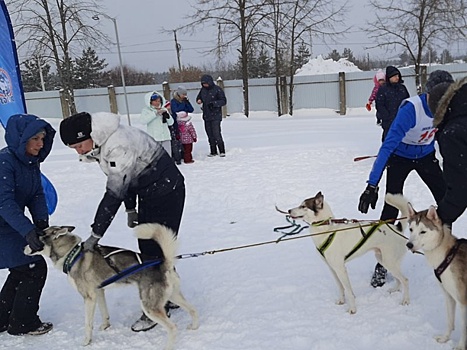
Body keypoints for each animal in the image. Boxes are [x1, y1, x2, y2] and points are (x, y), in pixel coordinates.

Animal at [24, 224, 199, 350]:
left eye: (35, 238)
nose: (22, 248)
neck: (71, 254)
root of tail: (164, 263)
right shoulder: (99, 291)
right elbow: (104, 312)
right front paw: (105, 326)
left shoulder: (88, 297)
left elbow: (88, 324)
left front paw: (86, 342)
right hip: (173, 295)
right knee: (193, 309)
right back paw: (194, 327)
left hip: (149, 306)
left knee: (173, 327)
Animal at [406, 201, 467, 348]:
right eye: (411, 229)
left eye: (423, 231)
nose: (409, 245)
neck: (447, 254)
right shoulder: (449, 296)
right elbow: (450, 322)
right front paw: (445, 339)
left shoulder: (463, 301)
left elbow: (464, 328)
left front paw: (460, 346)